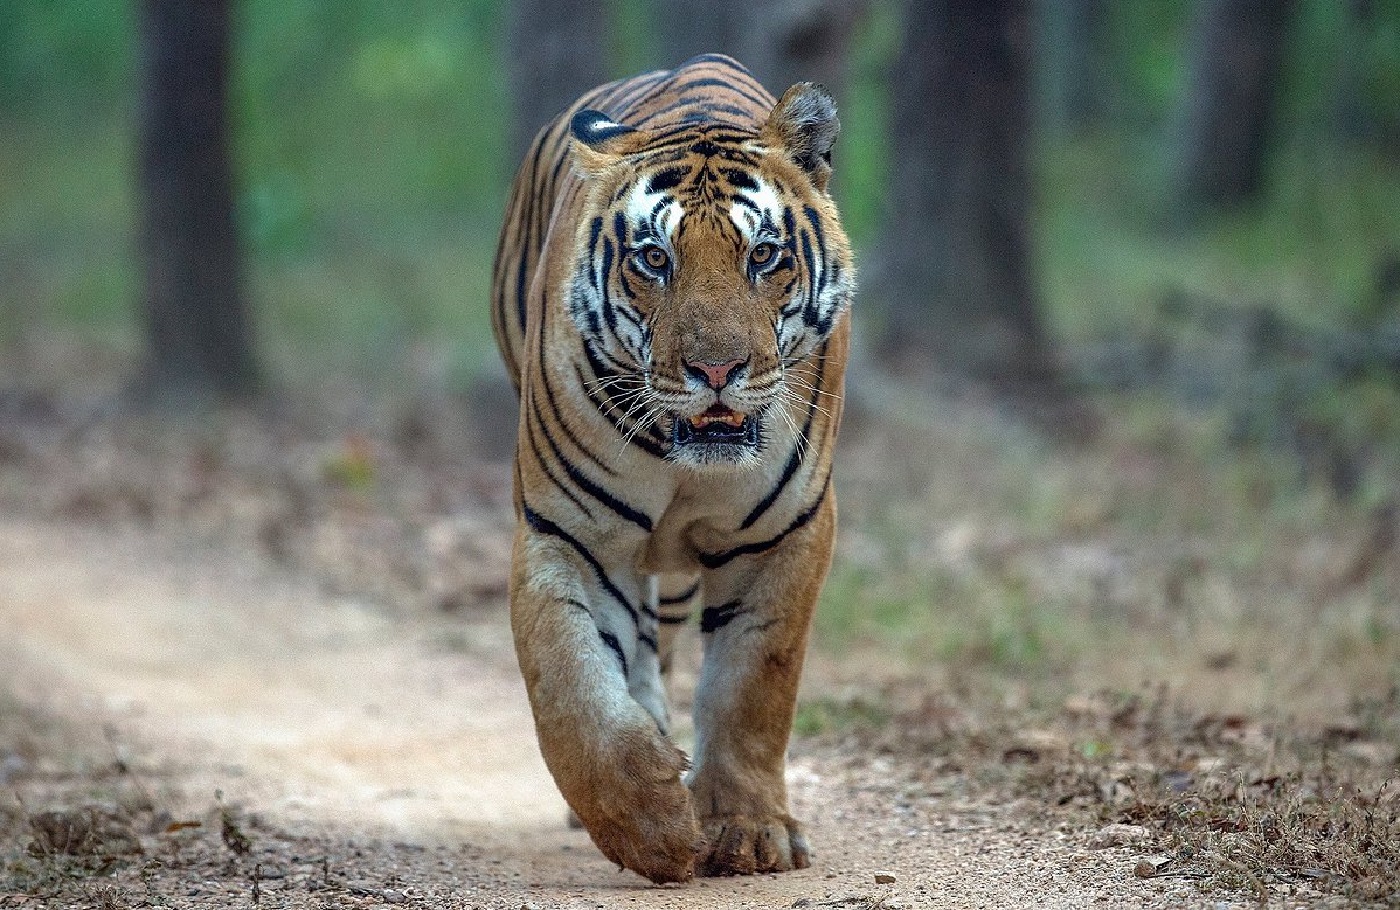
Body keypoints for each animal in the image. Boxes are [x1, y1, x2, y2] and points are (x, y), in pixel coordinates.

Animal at [490, 53, 854, 884]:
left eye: (763, 255)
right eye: (655, 259)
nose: (716, 370)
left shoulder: (786, 535)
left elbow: (751, 688)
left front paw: (748, 831)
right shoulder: (567, 533)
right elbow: (570, 687)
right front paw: (650, 827)